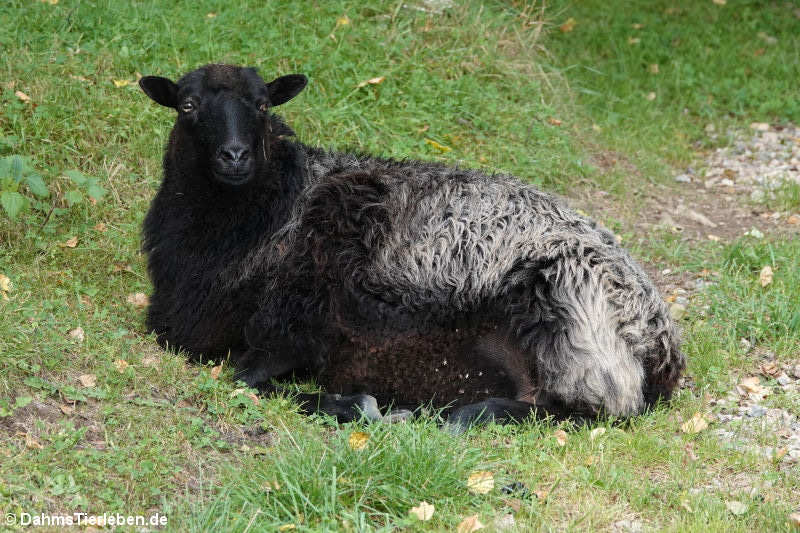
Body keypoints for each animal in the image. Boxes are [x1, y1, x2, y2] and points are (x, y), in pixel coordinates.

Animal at [139, 63, 688, 428]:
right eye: (187, 106)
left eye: (262, 105)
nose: (235, 156)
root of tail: (661, 342)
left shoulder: (295, 318)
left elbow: (246, 376)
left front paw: (350, 404)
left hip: (566, 316)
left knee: (586, 409)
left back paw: (459, 413)